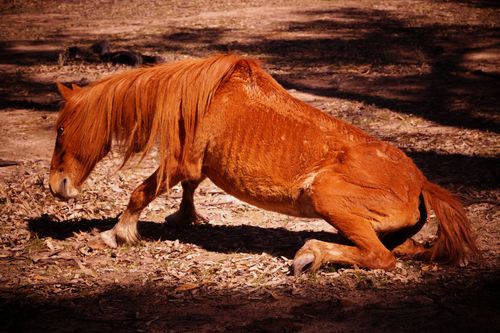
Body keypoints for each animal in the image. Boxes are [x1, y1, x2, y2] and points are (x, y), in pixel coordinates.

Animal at [48, 53, 478, 274]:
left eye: (60, 129)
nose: (57, 186)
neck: (202, 97)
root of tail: (421, 183)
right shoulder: (195, 168)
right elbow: (189, 190)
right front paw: (184, 218)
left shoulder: (180, 164)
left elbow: (141, 192)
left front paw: (115, 234)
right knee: (409, 251)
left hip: (326, 196)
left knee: (381, 258)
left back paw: (312, 254)